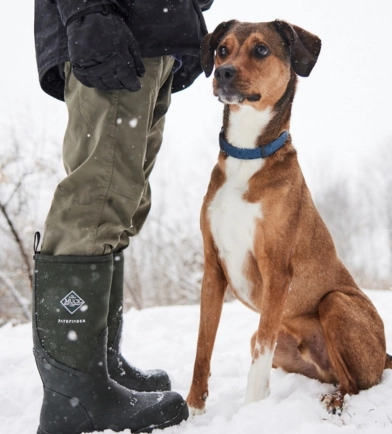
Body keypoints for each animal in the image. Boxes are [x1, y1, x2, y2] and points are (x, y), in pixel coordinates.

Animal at [186, 21, 388, 418]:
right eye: (221, 49)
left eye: (261, 50)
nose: (223, 72)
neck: (247, 152)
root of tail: (387, 355)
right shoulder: (213, 267)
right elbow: (203, 347)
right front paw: (193, 412)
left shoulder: (276, 270)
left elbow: (260, 352)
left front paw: (249, 413)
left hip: (336, 303)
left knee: (354, 384)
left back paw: (333, 402)